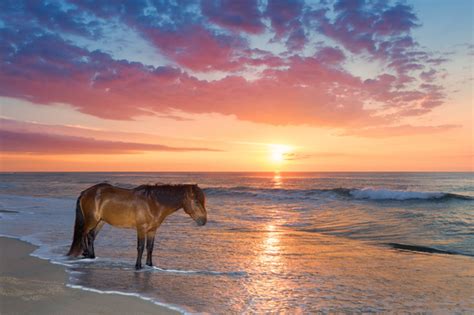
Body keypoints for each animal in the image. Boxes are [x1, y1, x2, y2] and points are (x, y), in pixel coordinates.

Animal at [67, 184, 207, 270]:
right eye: (196, 201)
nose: (203, 221)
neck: (153, 203)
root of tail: (85, 192)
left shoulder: (152, 230)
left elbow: (150, 248)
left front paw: (149, 265)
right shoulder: (141, 228)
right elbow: (140, 247)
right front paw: (138, 266)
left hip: (100, 222)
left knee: (90, 236)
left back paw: (92, 256)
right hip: (92, 220)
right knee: (83, 233)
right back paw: (85, 253)